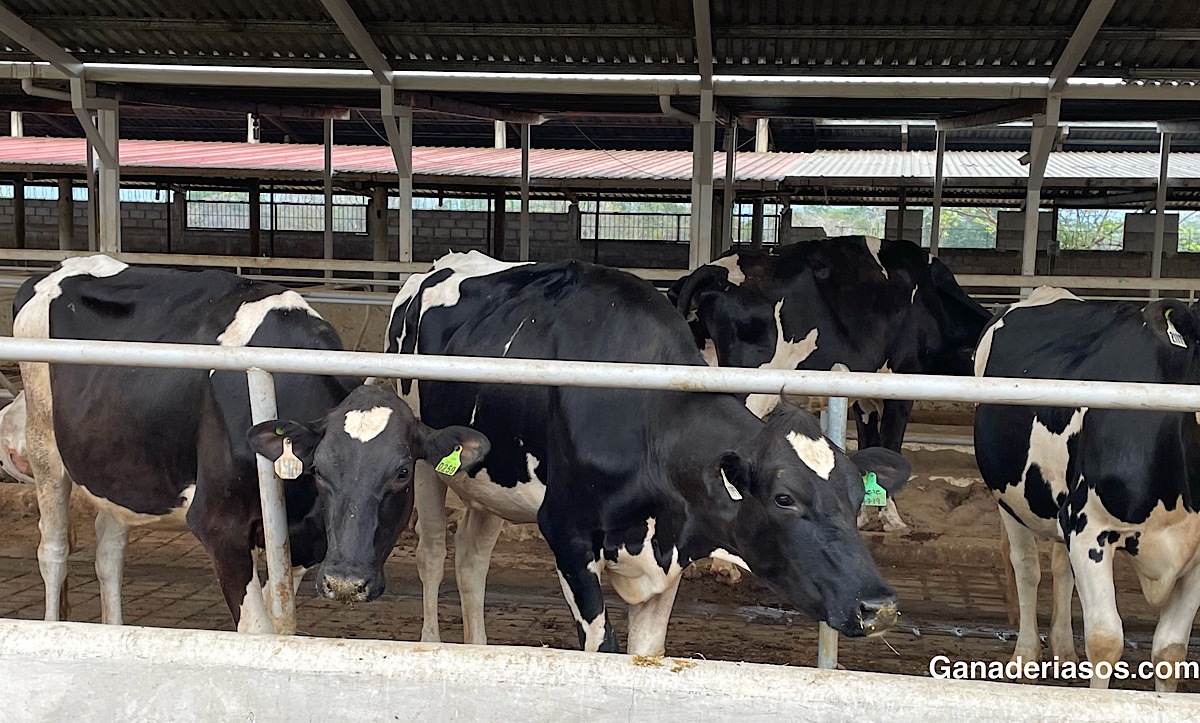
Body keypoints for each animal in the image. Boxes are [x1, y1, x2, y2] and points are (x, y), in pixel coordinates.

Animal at [14, 255, 484, 631]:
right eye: (320, 470)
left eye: (402, 473)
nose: (344, 583)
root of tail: (58, 268)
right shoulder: (218, 525)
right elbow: (257, 631)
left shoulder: (298, 543)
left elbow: (281, 624)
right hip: (43, 443)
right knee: (52, 549)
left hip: (122, 464)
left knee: (109, 549)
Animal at [387, 250, 911, 656]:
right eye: (784, 499)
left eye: (857, 497)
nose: (879, 608)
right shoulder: (566, 535)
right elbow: (603, 646)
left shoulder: (674, 549)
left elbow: (646, 653)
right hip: (427, 462)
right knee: (433, 554)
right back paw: (432, 642)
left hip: (492, 481)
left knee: (471, 561)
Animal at [670, 236, 991, 533]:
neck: (932, 300)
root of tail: (717, 268)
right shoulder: (902, 385)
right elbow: (891, 446)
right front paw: (893, 520)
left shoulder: (864, 395)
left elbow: (870, 445)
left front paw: (863, 516)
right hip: (750, 387)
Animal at [974, 286, 1200, 691]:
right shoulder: (1089, 527)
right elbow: (1105, 641)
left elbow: (1171, 653)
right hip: (1008, 497)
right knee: (1027, 567)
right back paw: (1025, 655)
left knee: (1060, 568)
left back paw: (1064, 651)